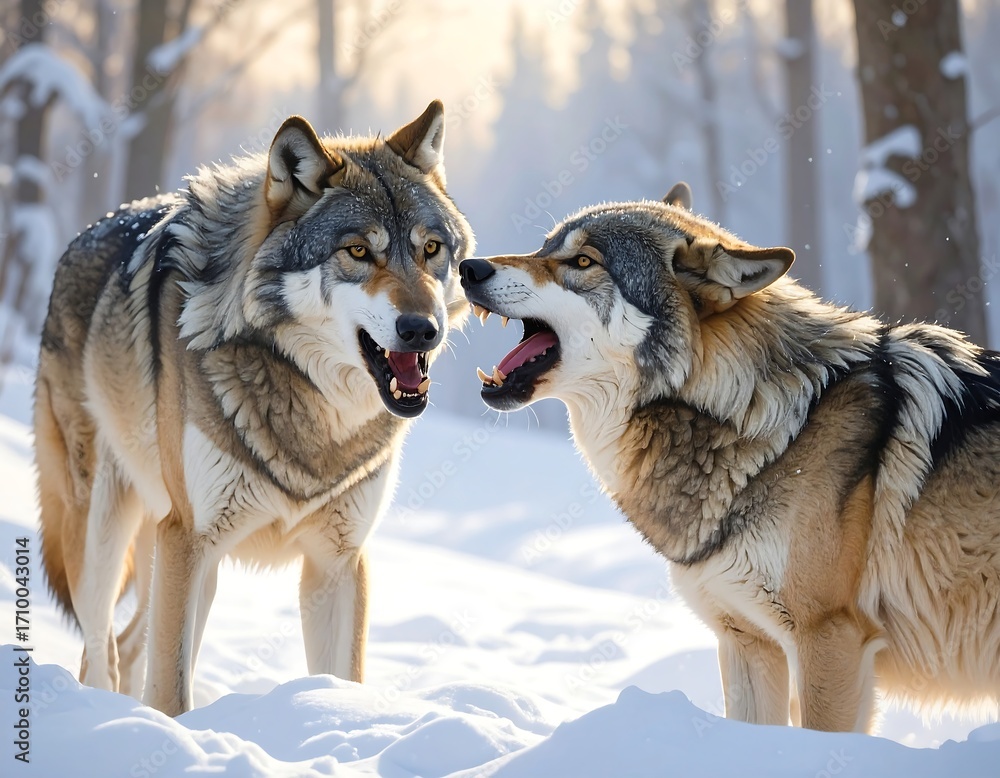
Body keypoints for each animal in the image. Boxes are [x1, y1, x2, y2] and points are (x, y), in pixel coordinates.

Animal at [35, 100, 474, 716]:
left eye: (430, 249)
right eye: (358, 251)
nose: (422, 330)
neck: (318, 414)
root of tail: (85, 233)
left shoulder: (339, 561)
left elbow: (344, 681)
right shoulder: (188, 538)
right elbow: (171, 693)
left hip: (190, 565)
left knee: (129, 646)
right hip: (107, 536)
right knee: (102, 651)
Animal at [459, 182, 1000, 732]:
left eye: (584, 260)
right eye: (544, 247)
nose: (468, 267)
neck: (769, 421)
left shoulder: (830, 638)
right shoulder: (747, 642)